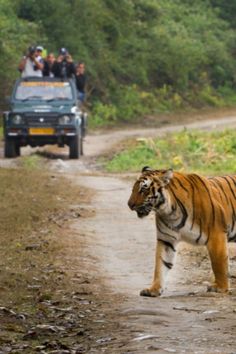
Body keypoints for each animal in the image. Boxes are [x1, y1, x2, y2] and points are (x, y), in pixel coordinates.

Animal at [128, 166, 236, 296]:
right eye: (133, 189)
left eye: (143, 189)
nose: (129, 205)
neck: (169, 211)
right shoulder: (166, 239)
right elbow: (160, 264)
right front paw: (153, 289)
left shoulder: (216, 234)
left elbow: (219, 264)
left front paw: (221, 287)